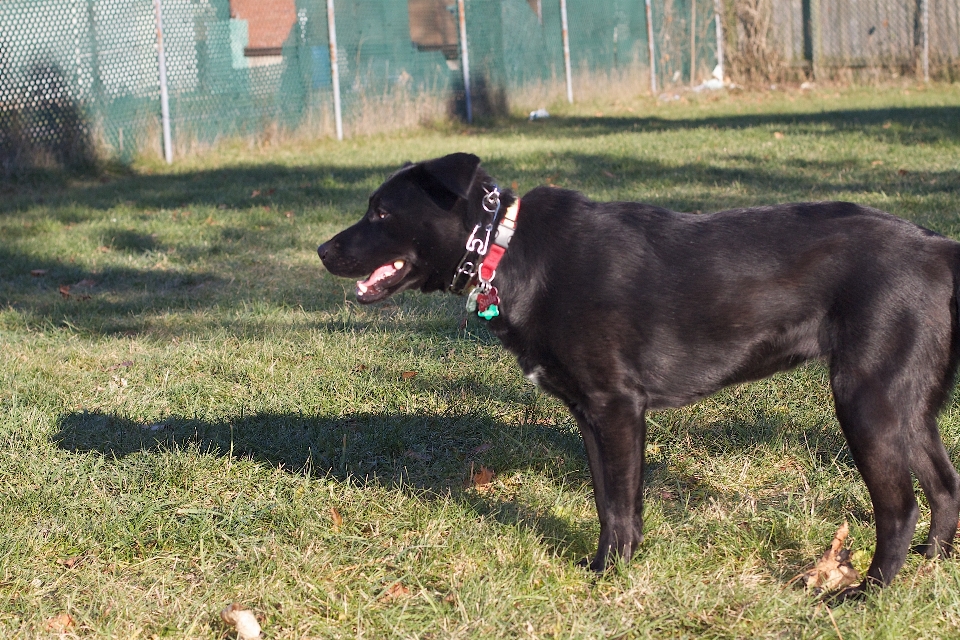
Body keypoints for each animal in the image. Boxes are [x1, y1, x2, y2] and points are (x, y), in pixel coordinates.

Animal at [320, 152, 960, 592]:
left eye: (381, 211)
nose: (322, 252)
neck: (505, 247)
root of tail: (937, 247)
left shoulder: (617, 408)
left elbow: (623, 503)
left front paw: (612, 576)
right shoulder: (590, 416)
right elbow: (608, 503)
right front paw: (604, 566)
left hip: (866, 400)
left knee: (900, 507)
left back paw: (866, 592)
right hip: (910, 407)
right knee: (945, 485)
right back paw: (932, 563)